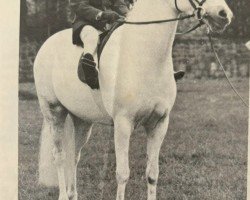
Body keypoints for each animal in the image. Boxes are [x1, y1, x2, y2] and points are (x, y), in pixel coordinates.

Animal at [33, 0, 232, 199]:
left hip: (82, 120)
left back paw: (72, 194)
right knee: (60, 155)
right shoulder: (123, 123)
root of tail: (47, 44)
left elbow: (152, 174)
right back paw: (63, 194)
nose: (224, 14)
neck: (144, 55)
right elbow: (122, 175)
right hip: (54, 111)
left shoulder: (159, 123)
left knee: (74, 156)